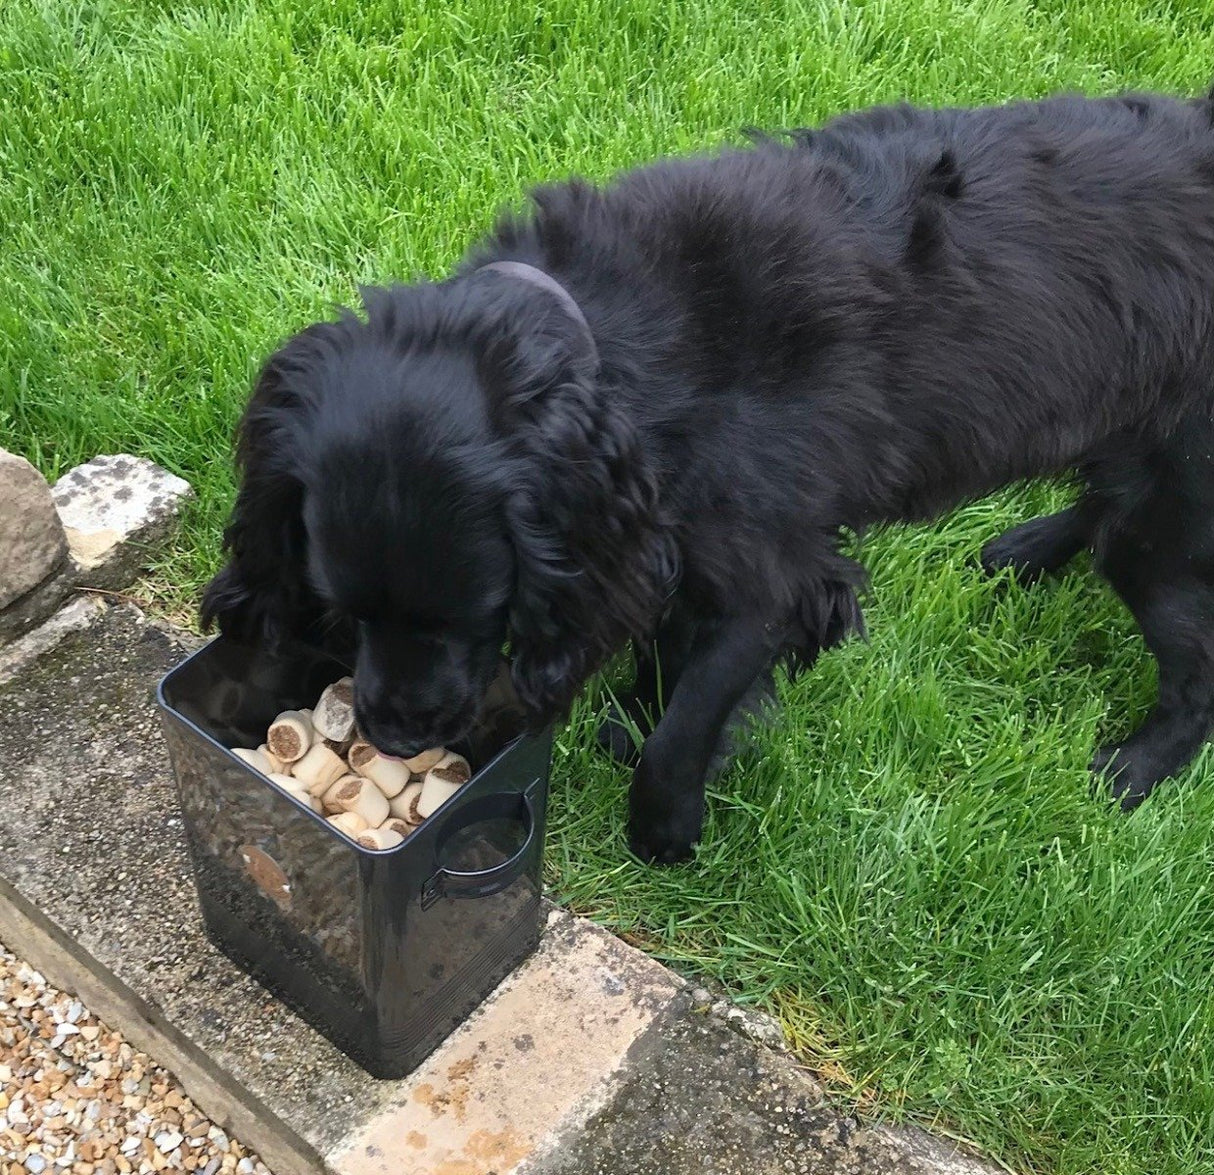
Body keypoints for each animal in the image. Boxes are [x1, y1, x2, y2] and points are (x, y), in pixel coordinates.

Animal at [203, 87, 1214, 864]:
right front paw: (627, 722)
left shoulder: (770, 579)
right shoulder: (656, 539)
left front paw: (663, 828)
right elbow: (663, 657)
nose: (396, 735)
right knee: (1102, 499)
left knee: (1193, 667)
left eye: (474, 613)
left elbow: (688, 719)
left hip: (1171, 517)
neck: (616, 342)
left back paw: (1135, 768)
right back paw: (1022, 549)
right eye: (343, 607)